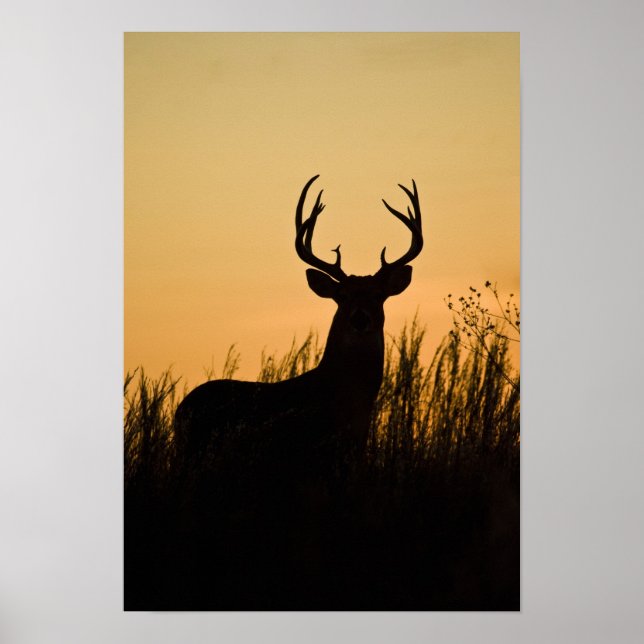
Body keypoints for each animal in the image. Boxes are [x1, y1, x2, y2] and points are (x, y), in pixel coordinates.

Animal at [173, 175, 423, 483]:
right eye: (342, 295)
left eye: (378, 295)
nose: (359, 318)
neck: (345, 399)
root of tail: (181, 410)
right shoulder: (312, 456)